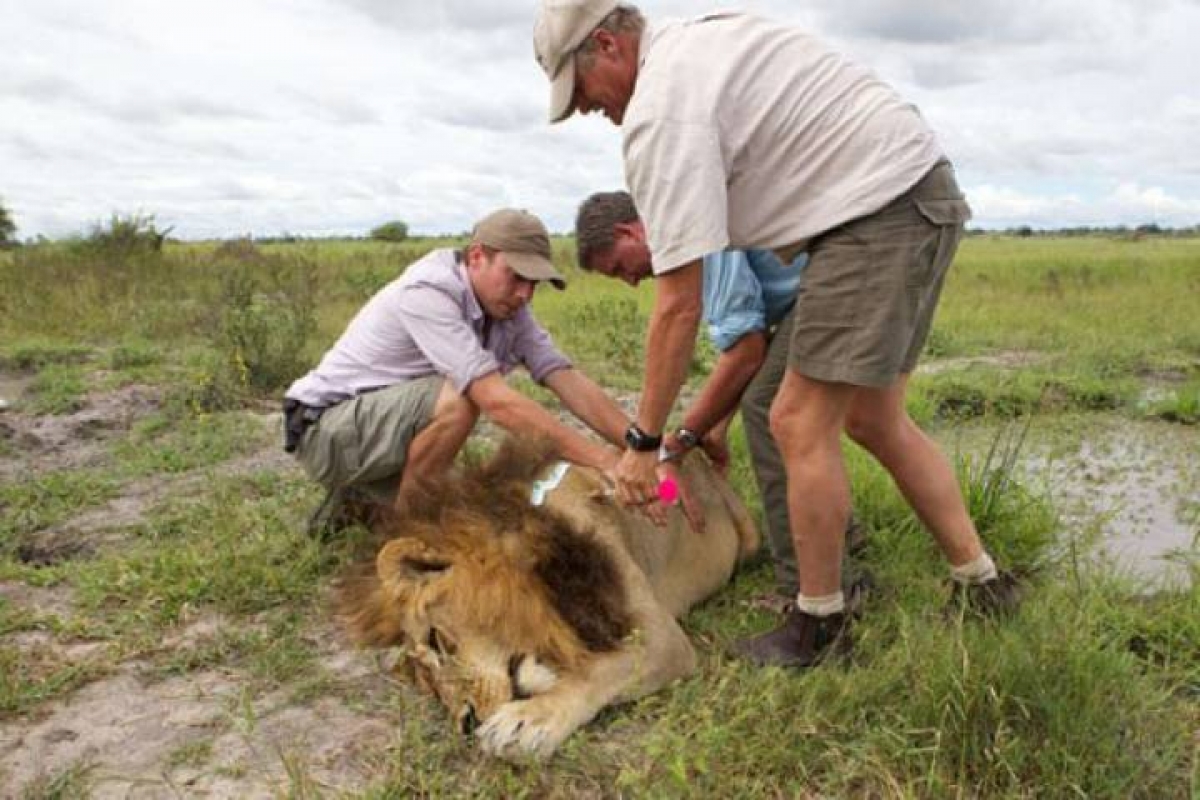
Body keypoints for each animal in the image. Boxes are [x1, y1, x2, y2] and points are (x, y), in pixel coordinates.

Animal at [336, 437, 759, 759]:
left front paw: (527, 720)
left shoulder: (661, 638)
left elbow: (600, 669)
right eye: (427, 686)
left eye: (437, 640)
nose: (465, 724)